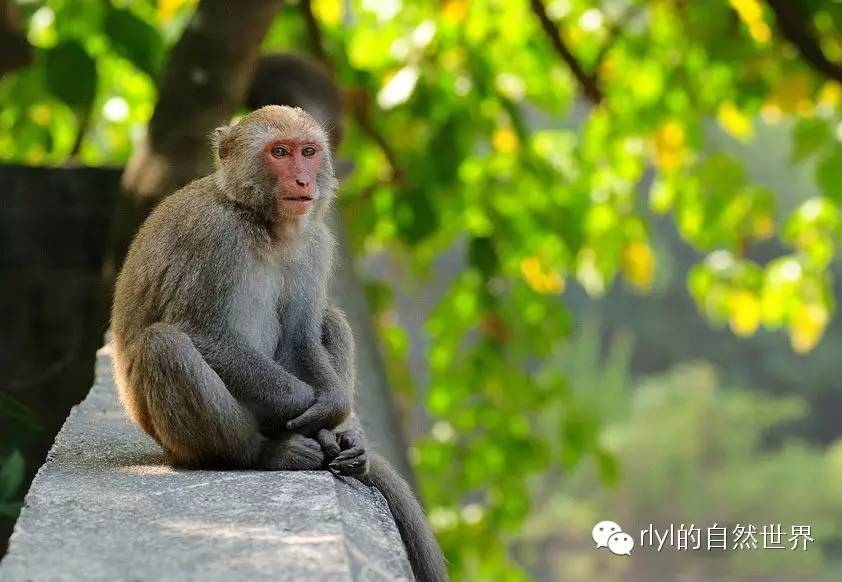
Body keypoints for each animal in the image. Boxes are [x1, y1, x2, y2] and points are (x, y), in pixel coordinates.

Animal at [111, 106, 446, 582]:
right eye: (280, 153)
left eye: (308, 152)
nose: (303, 180)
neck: (261, 222)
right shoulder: (216, 236)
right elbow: (202, 333)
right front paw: (316, 418)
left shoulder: (315, 242)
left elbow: (300, 336)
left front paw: (334, 415)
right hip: (177, 441)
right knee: (165, 344)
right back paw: (264, 452)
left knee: (331, 318)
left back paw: (348, 445)